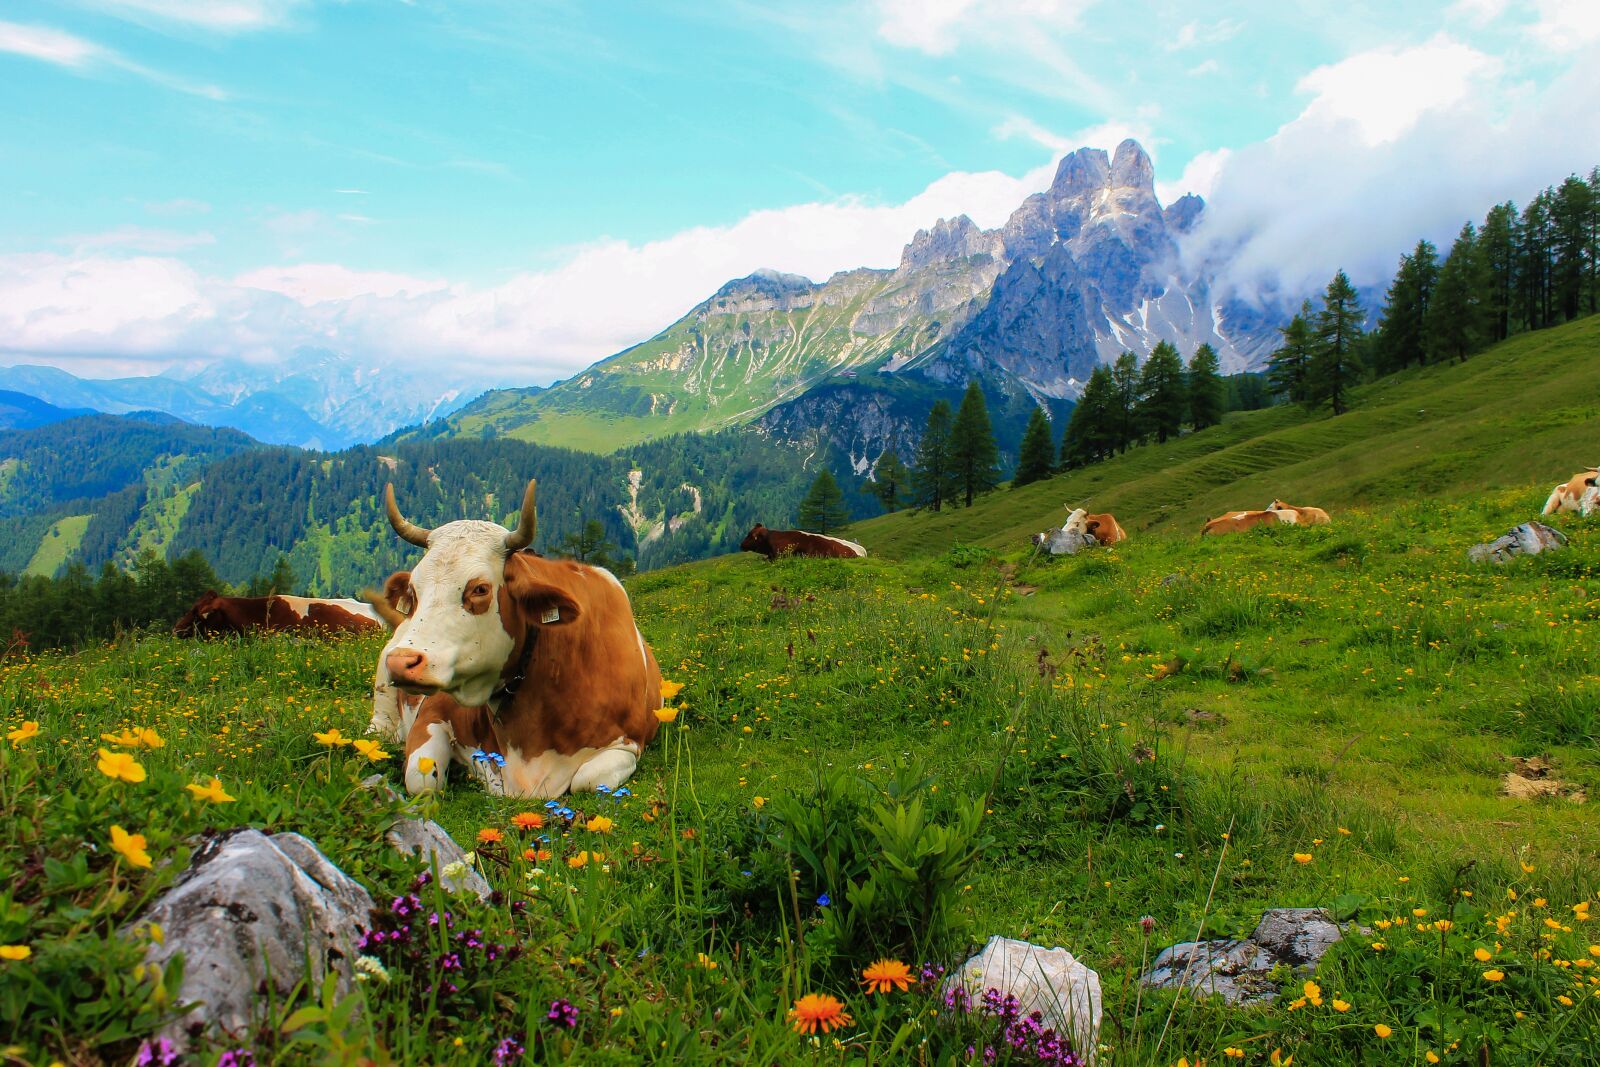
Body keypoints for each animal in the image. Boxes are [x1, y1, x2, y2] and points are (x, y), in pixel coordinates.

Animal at [372, 480, 663, 798]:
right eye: (413, 590)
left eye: (480, 589)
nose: (402, 662)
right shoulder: (432, 712)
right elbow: (422, 781)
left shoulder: (629, 741)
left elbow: (587, 780)